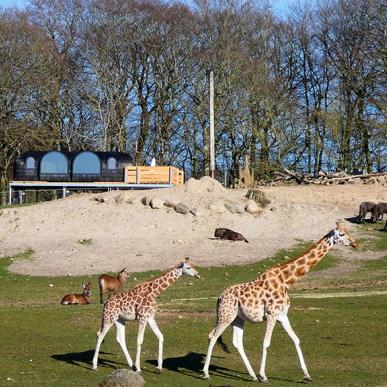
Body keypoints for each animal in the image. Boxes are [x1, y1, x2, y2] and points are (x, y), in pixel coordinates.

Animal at [203, 223, 358, 384]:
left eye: (348, 231)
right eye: (341, 234)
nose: (355, 243)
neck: (286, 281)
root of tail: (219, 297)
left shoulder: (282, 315)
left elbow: (296, 339)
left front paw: (306, 375)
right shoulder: (271, 314)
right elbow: (266, 342)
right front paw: (263, 375)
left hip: (237, 318)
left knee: (237, 342)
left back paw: (252, 375)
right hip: (226, 315)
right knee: (213, 336)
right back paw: (206, 373)